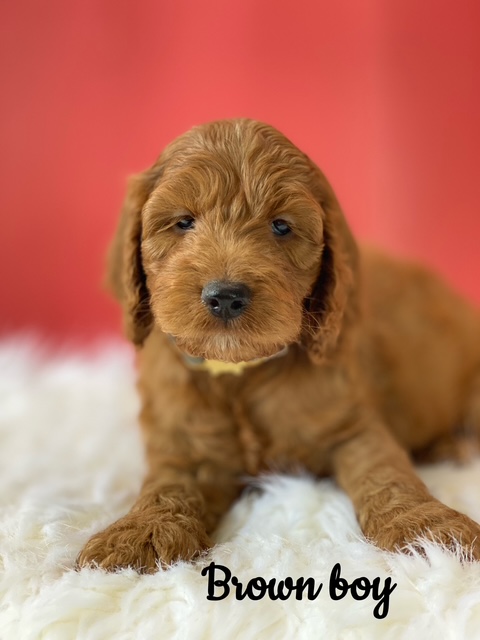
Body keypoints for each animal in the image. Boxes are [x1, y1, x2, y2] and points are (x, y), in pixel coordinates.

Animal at [77, 118, 480, 572]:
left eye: (281, 226)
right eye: (183, 222)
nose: (225, 296)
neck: (241, 372)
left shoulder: (354, 424)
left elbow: (387, 472)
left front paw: (427, 528)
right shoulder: (184, 442)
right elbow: (169, 485)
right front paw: (141, 532)